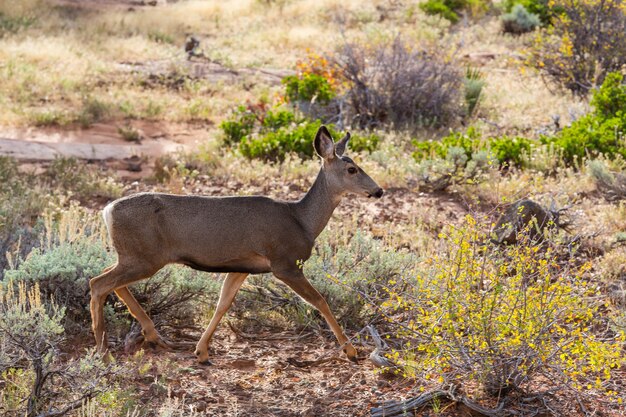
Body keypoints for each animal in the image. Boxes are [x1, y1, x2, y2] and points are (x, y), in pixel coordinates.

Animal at [87, 125, 380, 362]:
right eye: (352, 169)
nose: (378, 190)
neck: (302, 220)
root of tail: (108, 210)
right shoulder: (284, 263)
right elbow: (320, 300)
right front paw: (351, 351)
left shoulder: (241, 266)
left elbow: (223, 304)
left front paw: (202, 352)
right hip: (144, 257)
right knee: (98, 283)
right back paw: (103, 352)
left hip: (134, 256)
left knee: (109, 281)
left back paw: (152, 336)